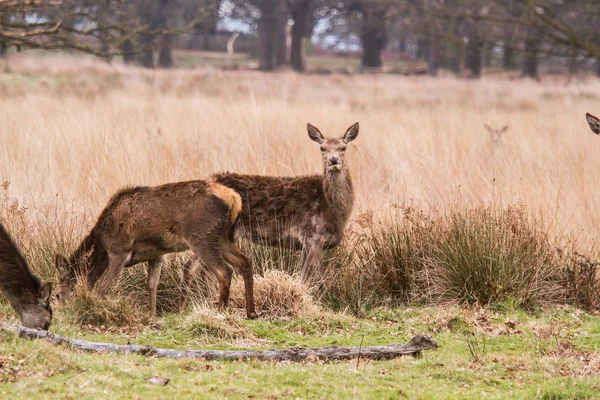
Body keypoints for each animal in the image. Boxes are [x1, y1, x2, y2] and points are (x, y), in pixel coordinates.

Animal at [56, 180, 260, 318]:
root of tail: (234, 198)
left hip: (201, 236)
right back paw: (251, 313)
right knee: (245, 261)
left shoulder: (119, 250)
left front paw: (94, 308)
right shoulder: (156, 254)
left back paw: (220, 311)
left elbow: (104, 287)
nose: (65, 309)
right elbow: (152, 284)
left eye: (58, 294)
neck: (101, 245)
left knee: (224, 270)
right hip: (222, 237)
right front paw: (153, 315)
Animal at [210, 122, 358, 282]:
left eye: (343, 147)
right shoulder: (312, 238)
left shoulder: (307, 245)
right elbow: (313, 279)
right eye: (322, 148)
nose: (333, 160)